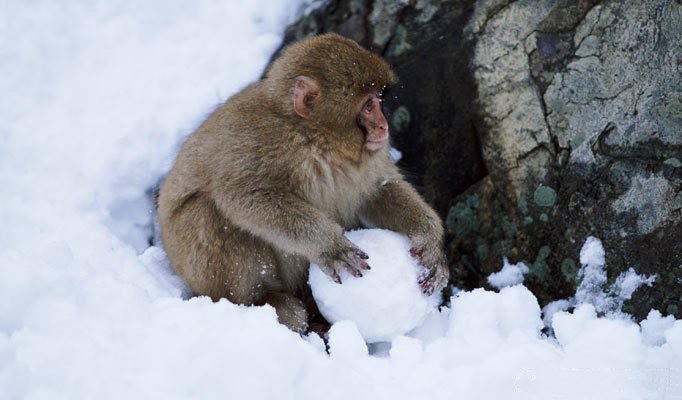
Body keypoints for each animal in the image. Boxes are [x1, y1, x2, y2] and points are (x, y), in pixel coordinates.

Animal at [157, 32, 448, 332]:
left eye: (377, 101)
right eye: (369, 106)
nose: (383, 126)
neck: (314, 137)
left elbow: (379, 189)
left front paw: (429, 238)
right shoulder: (260, 142)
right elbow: (243, 195)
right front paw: (328, 244)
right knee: (207, 212)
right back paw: (265, 302)